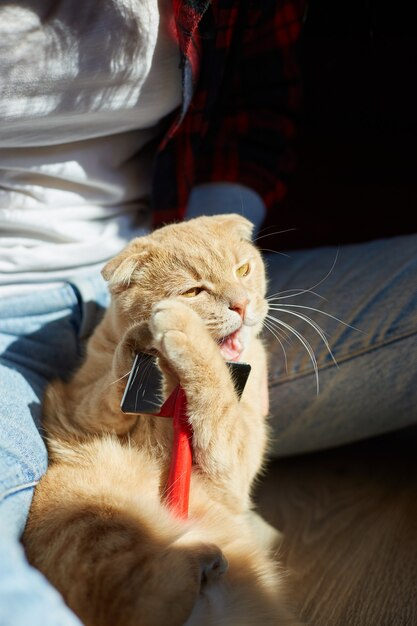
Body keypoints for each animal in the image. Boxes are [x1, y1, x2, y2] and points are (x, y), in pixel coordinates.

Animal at [22, 214, 300, 624]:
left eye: (243, 270)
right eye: (194, 291)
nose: (242, 304)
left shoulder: (234, 465)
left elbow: (217, 391)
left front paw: (185, 335)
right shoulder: (76, 406)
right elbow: (108, 388)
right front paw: (146, 334)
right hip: (97, 525)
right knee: (144, 602)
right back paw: (203, 557)